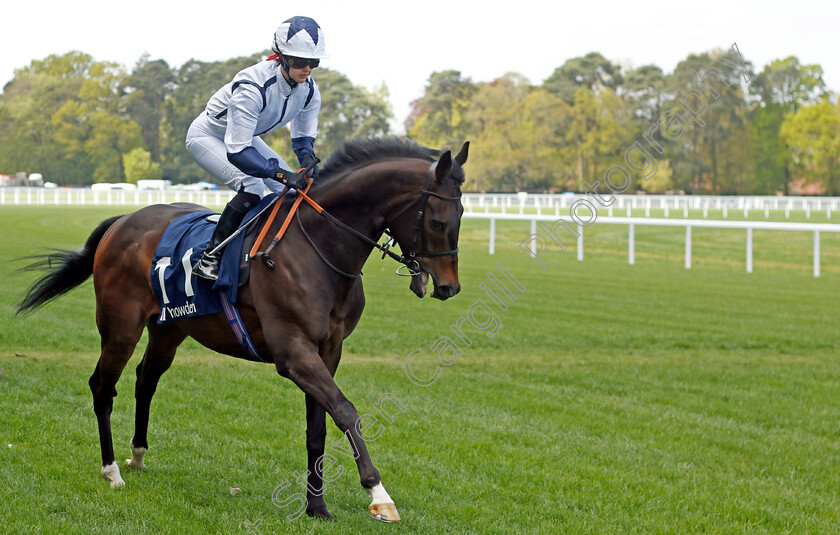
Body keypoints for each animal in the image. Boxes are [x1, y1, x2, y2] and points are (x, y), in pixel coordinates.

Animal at [16, 135, 470, 524]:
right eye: (437, 221)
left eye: (463, 215)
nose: (448, 287)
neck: (319, 247)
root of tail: (124, 220)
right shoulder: (293, 353)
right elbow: (346, 412)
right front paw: (379, 496)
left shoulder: (328, 351)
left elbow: (318, 428)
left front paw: (316, 506)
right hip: (120, 327)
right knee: (102, 386)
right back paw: (112, 470)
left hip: (169, 329)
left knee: (146, 380)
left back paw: (138, 455)